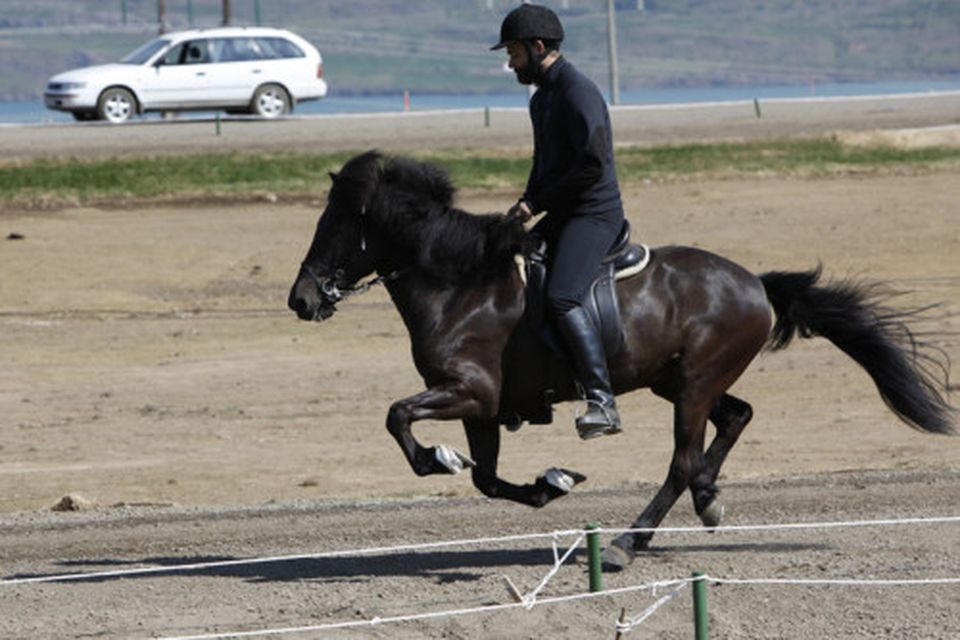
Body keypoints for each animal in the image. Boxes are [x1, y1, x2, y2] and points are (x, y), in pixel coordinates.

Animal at [284, 151, 952, 568]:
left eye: (338, 227)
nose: (301, 300)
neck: (461, 284)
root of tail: (753, 284)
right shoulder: (481, 406)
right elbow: (486, 477)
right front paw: (549, 483)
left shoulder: (470, 390)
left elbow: (399, 416)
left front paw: (437, 458)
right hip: (678, 380)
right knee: (735, 419)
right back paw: (708, 500)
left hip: (693, 385)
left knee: (682, 461)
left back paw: (632, 540)